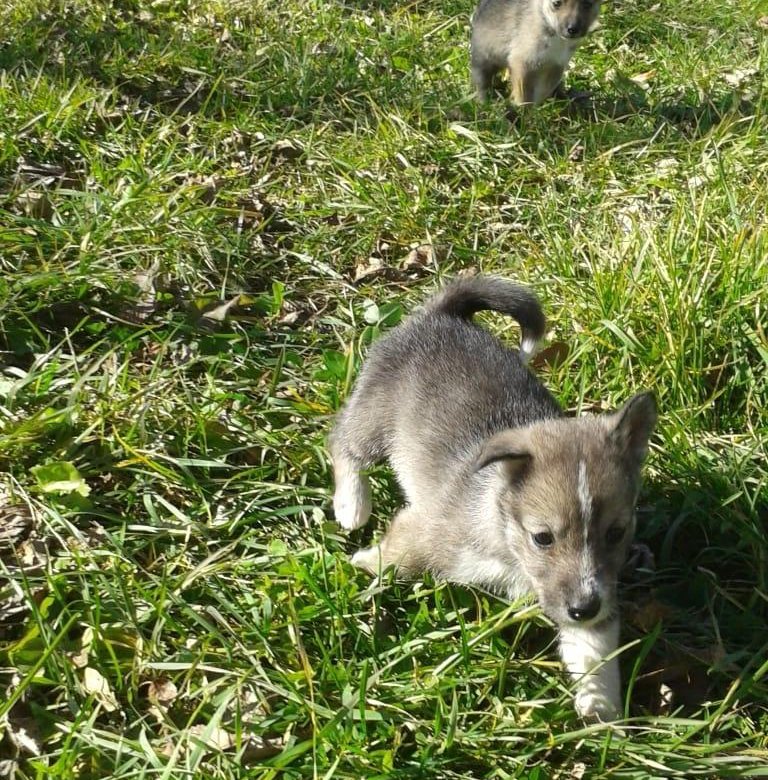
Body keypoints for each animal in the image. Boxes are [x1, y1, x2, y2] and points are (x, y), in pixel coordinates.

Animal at [328, 278, 656, 724]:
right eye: (543, 537)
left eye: (617, 533)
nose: (584, 609)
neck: (505, 543)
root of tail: (440, 313)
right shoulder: (425, 530)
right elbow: (394, 557)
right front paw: (363, 564)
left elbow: (594, 656)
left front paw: (602, 718)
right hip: (373, 418)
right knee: (342, 443)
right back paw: (352, 505)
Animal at [472, 0, 604, 104]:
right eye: (556, 3)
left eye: (587, 4)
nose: (572, 29)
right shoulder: (523, 63)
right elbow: (525, 96)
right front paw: (524, 114)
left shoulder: (557, 64)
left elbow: (545, 89)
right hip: (483, 59)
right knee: (482, 83)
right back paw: (485, 103)